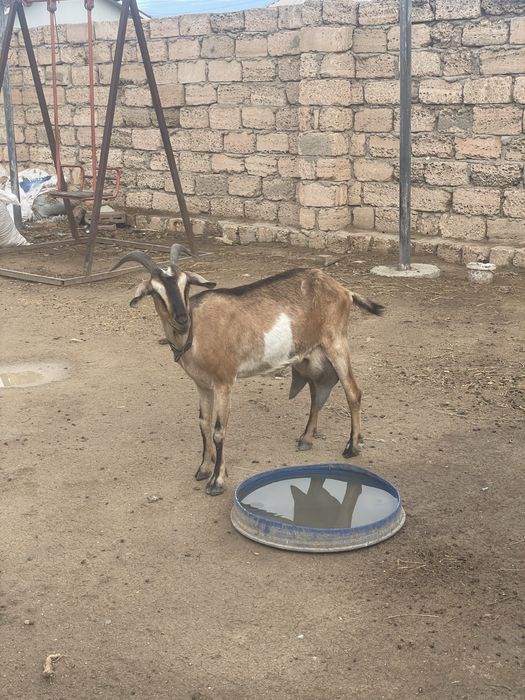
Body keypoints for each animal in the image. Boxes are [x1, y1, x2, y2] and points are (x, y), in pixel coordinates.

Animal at [113, 244, 384, 496]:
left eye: (186, 285)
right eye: (155, 291)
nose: (182, 319)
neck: (197, 332)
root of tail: (343, 290)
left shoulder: (224, 381)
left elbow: (219, 431)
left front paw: (217, 481)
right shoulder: (202, 384)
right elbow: (203, 423)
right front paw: (204, 468)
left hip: (335, 342)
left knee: (353, 392)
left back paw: (351, 447)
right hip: (311, 353)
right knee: (317, 391)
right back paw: (306, 439)